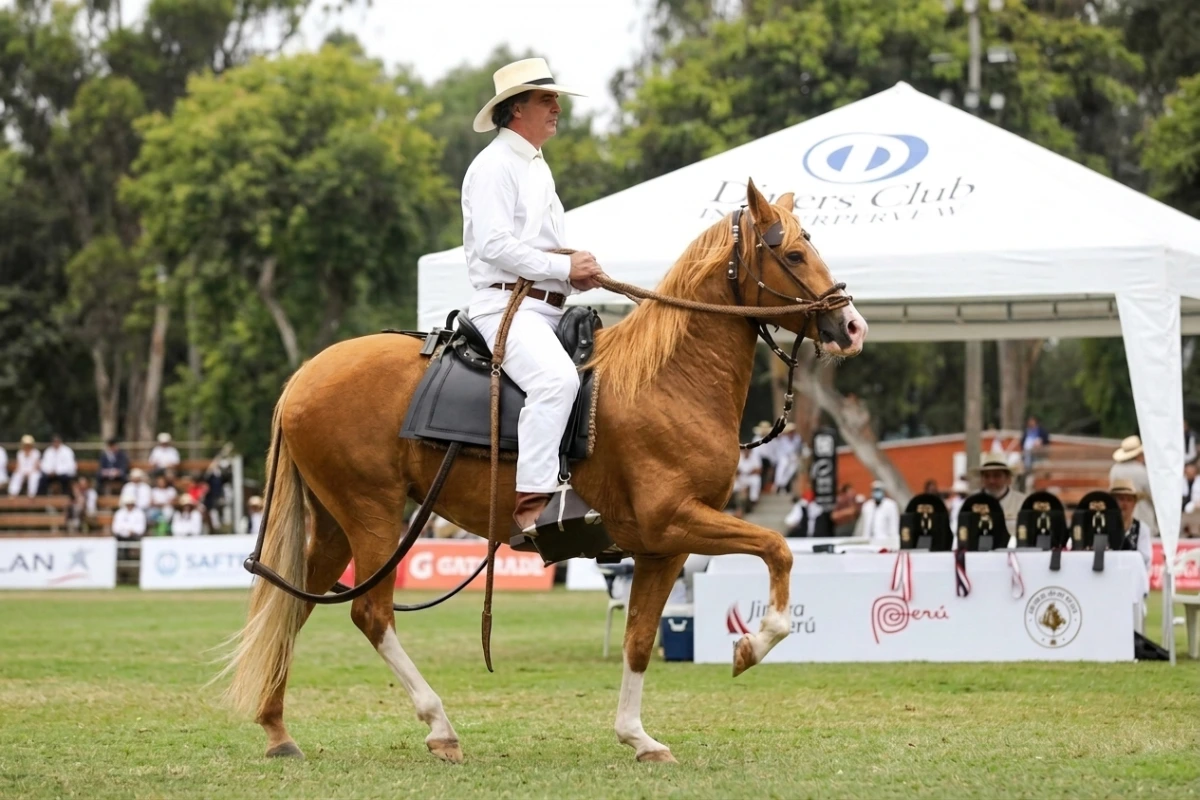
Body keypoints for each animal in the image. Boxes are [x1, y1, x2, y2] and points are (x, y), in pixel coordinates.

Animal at [216, 179, 868, 764]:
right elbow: (778, 548)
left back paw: (278, 730)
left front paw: (639, 737)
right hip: (373, 516)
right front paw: (751, 645)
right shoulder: (678, 521)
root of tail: (302, 377)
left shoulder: (662, 547)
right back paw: (440, 726)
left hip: (333, 525)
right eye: (792, 254)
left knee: (294, 605)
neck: (670, 379)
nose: (852, 326)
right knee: (369, 614)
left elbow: (639, 640)